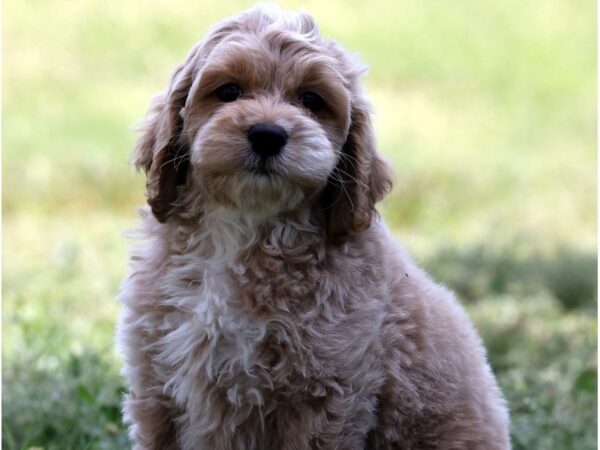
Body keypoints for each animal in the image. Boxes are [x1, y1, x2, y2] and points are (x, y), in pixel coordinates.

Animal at [118, 4, 510, 450]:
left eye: (311, 100)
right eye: (229, 91)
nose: (267, 134)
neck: (244, 225)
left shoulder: (322, 394)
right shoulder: (156, 383)